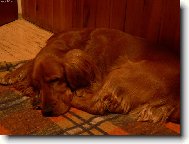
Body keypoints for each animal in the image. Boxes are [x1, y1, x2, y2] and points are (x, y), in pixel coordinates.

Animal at [0, 28, 180, 123]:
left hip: (123, 71)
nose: (47, 111)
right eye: (38, 85)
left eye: (55, 80)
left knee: (96, 105)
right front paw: (11, 75)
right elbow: (31, 60)